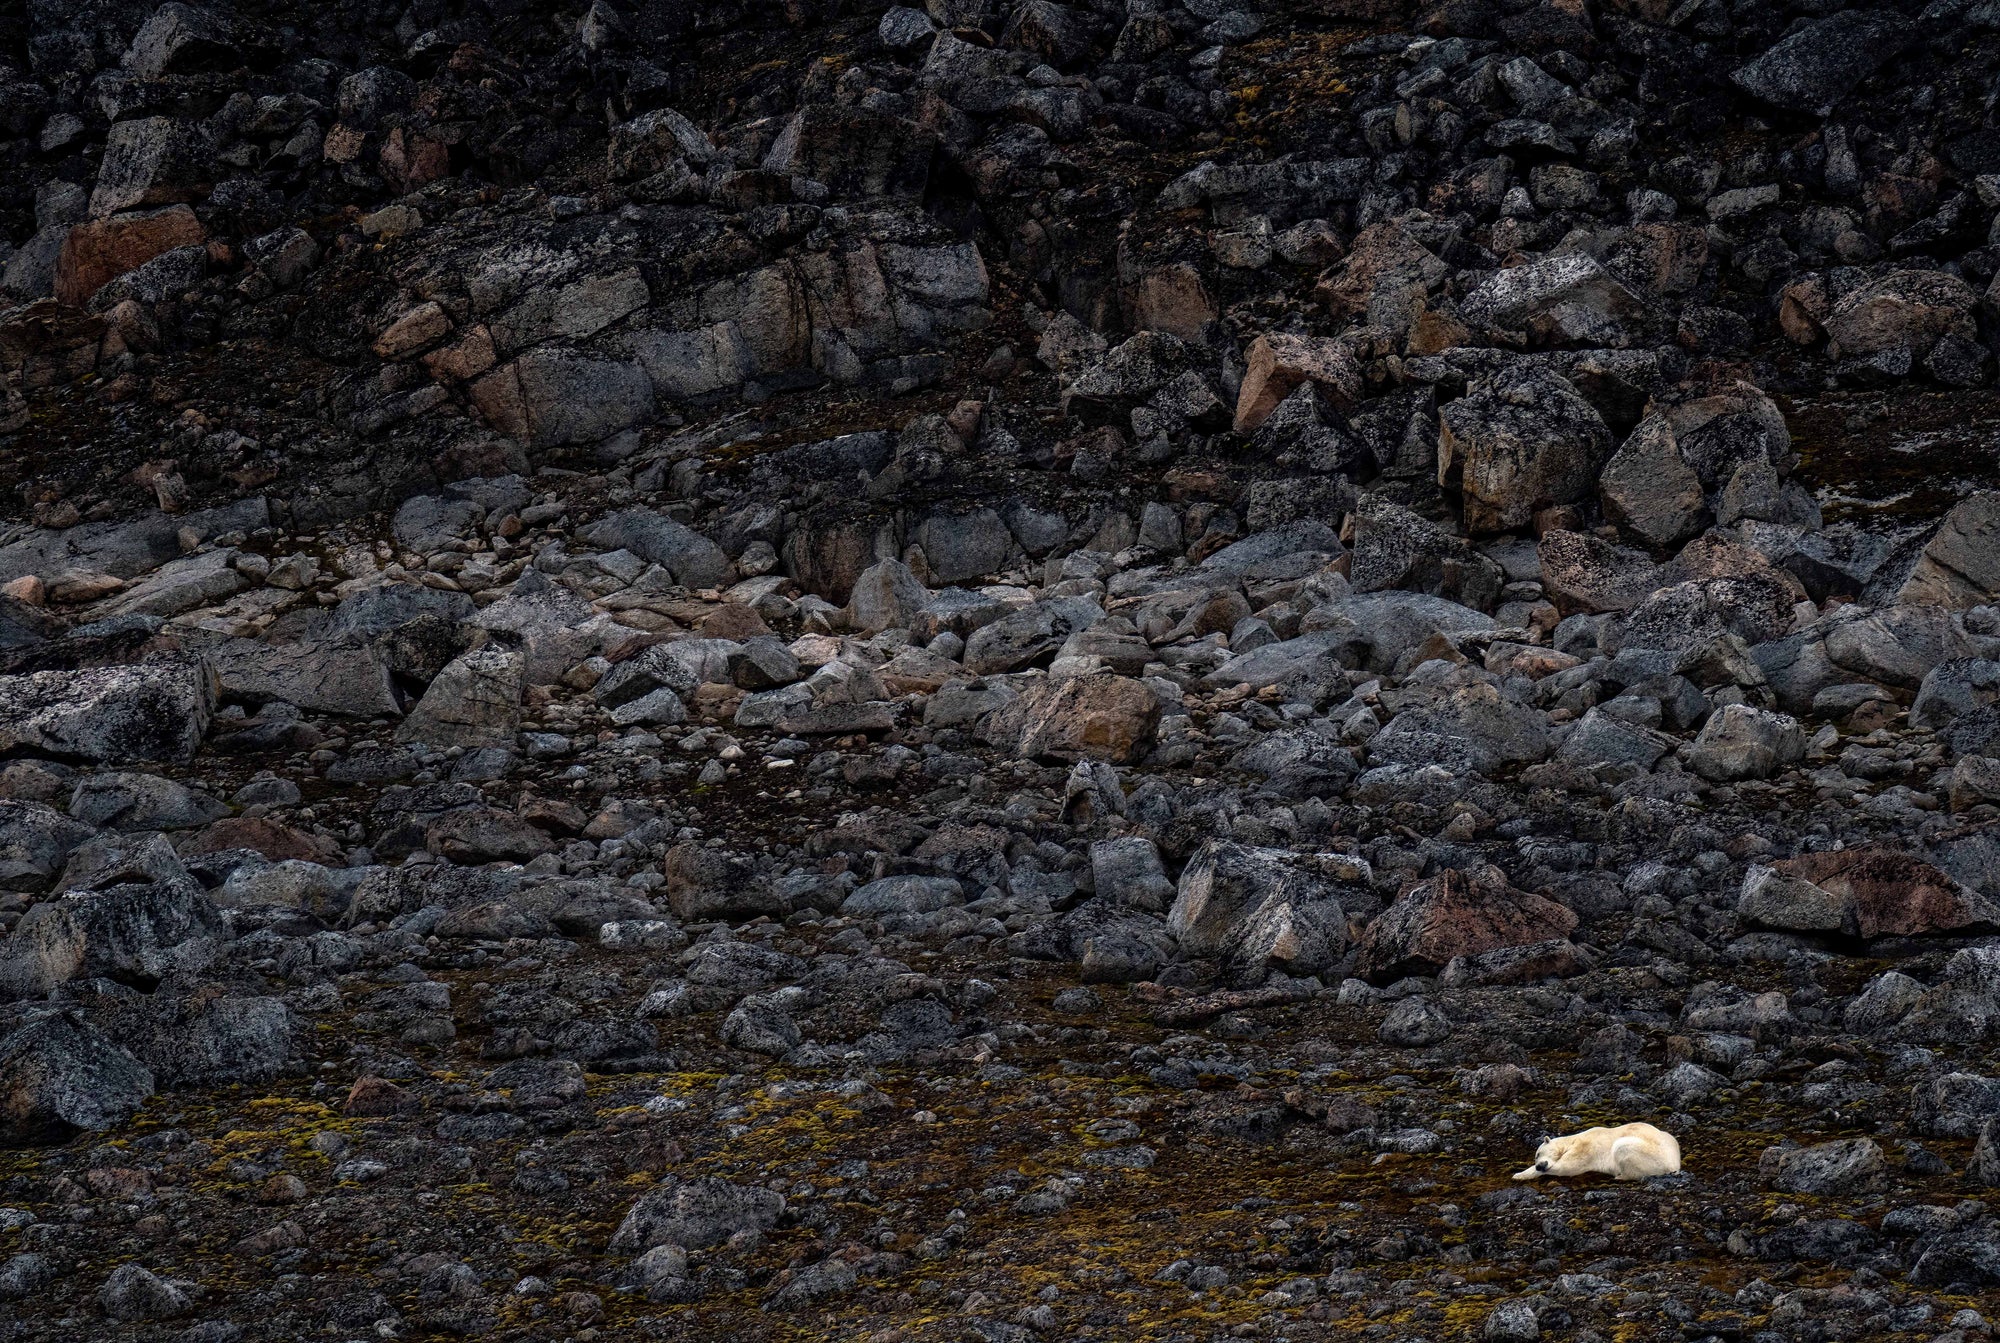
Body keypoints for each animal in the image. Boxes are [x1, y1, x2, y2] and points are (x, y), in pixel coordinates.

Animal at [1512, 1123, 1681, 1181]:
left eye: (1537, 1155)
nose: (1539, 1165)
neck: (1572, 1140)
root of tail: (1674, 1165)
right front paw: (1519, 1174)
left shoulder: (1586, 1148)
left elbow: (1566, 1167)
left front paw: (1521, 1174)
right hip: (1670, 1139)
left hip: (1651, 1154)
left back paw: (1620, 1176)